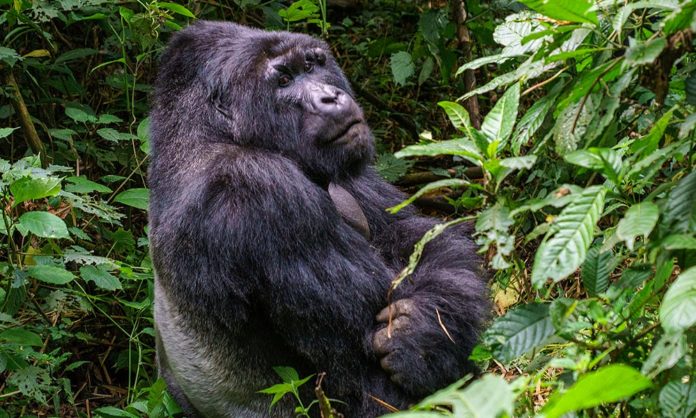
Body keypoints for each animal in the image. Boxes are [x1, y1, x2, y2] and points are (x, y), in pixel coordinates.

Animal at [151, 22, 490, 418]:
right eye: (283, 80)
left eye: (313, 65)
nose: (331, 97)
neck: (206, 132)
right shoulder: (257, 188)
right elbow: (362, 362)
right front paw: (422, 344)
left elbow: (417, 238)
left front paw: (425, 324)